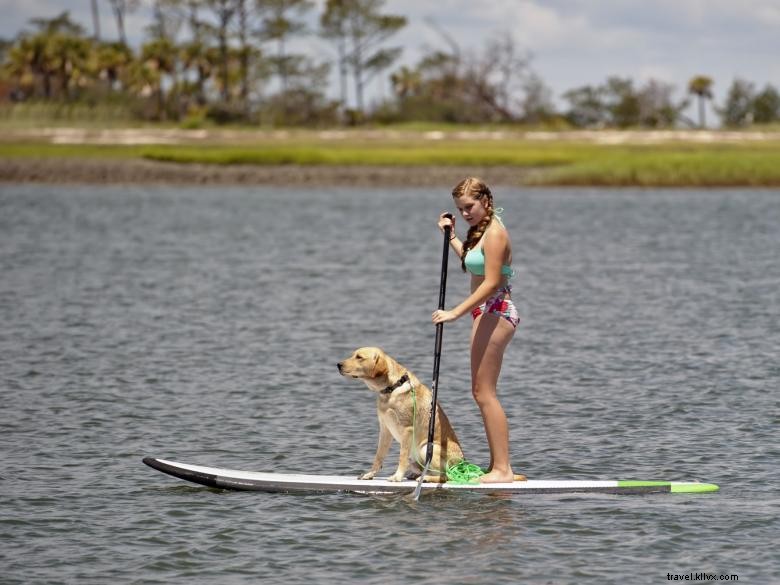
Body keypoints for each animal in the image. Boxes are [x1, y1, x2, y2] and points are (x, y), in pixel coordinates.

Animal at [336, 344, 464, 482]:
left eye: (359, 357)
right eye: (353, 355)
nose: (338, 364)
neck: (392, 387)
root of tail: (463, 464)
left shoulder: (407, 429)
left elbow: (402, 456)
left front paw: (397, 476)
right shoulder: (385, 429)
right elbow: (379, 455)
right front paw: (370, 474)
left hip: (427, 448)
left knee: (446, 476)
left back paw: (425, 478)